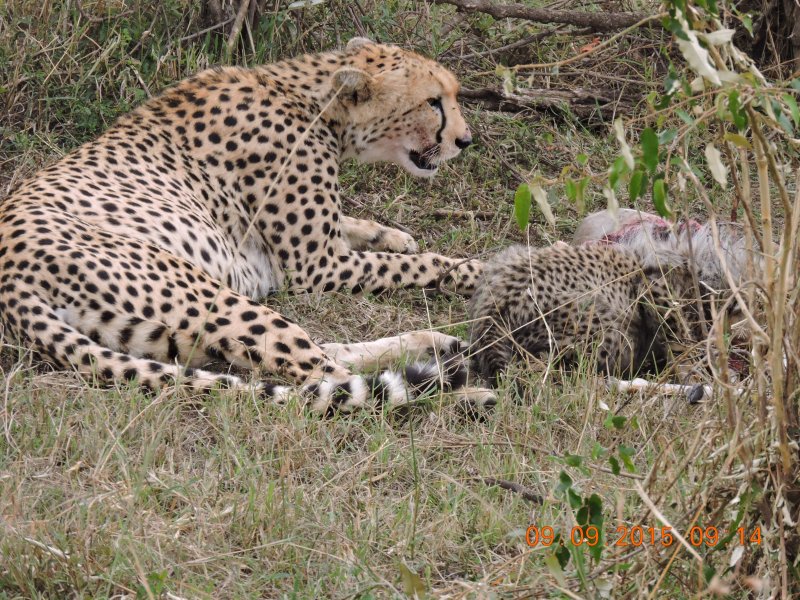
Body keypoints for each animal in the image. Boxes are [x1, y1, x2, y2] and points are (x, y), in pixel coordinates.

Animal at [0, 37, 495, 414]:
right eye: (433, 102)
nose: (466, 141)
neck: (311, 98)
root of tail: (10, 286)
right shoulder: (316, 268)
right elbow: (424, 265)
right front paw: (478, 270)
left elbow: (361, 231)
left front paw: (391, 234)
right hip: (207, 296)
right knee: (325, 378)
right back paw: (460, 393)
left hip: (163, 336)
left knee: (318, 358)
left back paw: (433, 344)